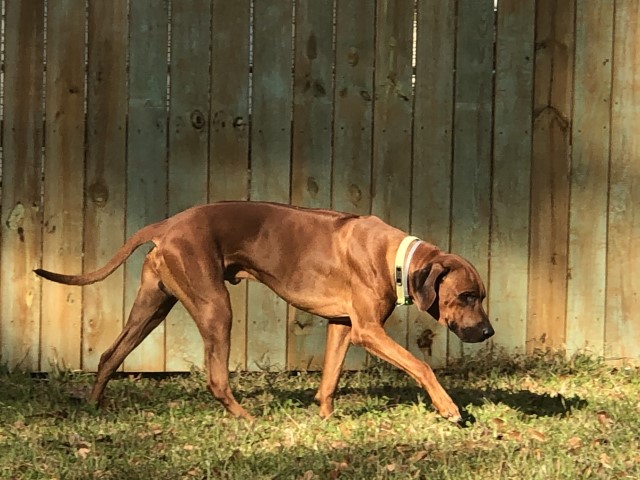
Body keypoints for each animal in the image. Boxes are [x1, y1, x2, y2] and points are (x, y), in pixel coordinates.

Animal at [35, 202, 496, 424]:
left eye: (482, 295)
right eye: (467, 296)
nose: (489, 332)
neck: (396, 259)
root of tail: (167, 224)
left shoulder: (342, 326)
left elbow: (329, 379)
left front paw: (325, 417)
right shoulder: (367, 330)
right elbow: (422, 366)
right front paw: (449, 409)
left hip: (152, 307)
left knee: (109, 355)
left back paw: (93, 407)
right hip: (215, 308)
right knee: (216, 378)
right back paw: (245, 416)